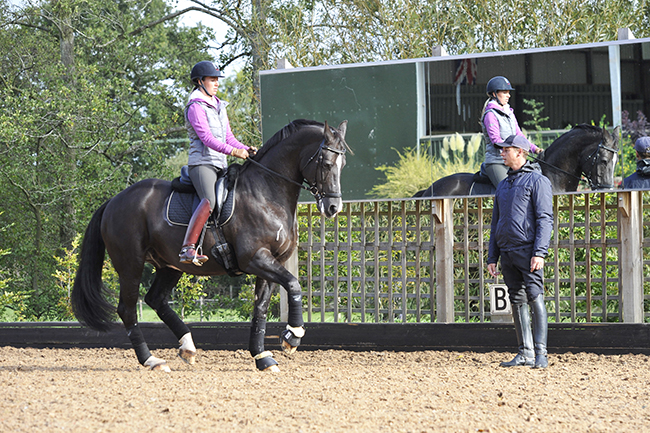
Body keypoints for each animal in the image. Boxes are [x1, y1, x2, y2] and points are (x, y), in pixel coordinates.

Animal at [71, 119, 350, 372]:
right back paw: (151, 360)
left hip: (169, 266)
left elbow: (260, 307)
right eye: (326, 164)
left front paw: (262, 358)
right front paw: (293, 335)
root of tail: (114, 201)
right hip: (131, 264)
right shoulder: (256, 258)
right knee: (128, 310)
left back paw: (188, 347)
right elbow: (293, 284)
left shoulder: (273, 261)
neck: (266, 193)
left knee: (155, 299)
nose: (333, 208)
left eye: (343, 165)